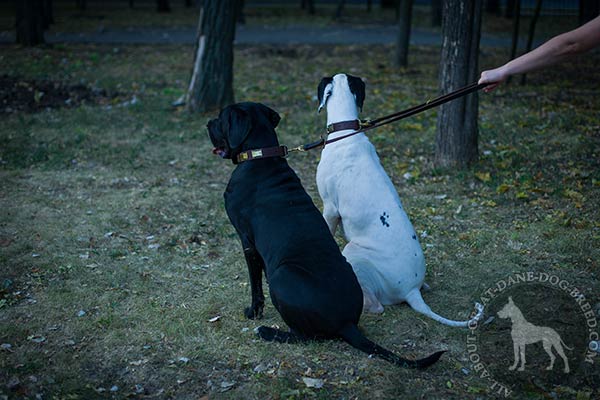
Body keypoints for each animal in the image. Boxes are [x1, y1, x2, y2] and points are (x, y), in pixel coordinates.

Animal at [209, 102, 442, 368]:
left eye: (221, 118)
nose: (207, 123)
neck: (261, 156)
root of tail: (347, 323)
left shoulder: (247, 240)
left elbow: (255, 284)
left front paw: (253, 313)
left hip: (283, 274)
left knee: (304, 336)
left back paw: (268, 332)